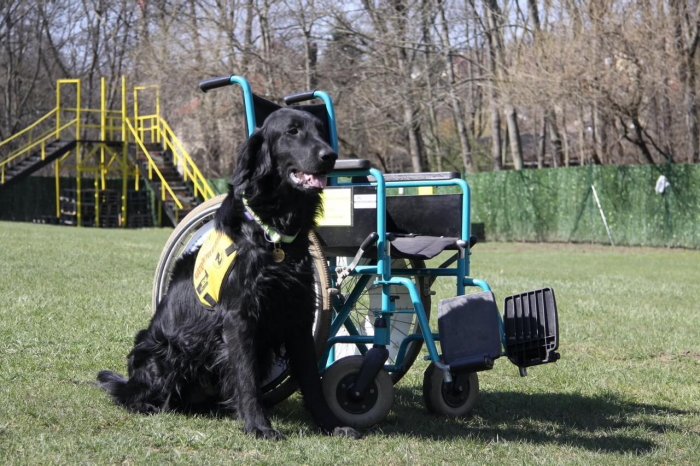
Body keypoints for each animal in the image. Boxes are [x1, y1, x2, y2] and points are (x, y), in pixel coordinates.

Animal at [97, 107, 360, 438]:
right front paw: (259, 426)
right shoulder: (239, 317)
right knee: (134, 396)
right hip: (163, 351)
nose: (330, 155)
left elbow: (312, 381)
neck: (272, 231)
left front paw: (331, 424)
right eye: (292, 131)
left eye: (321, 130)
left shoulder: (298, 316)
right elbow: (246, 379)